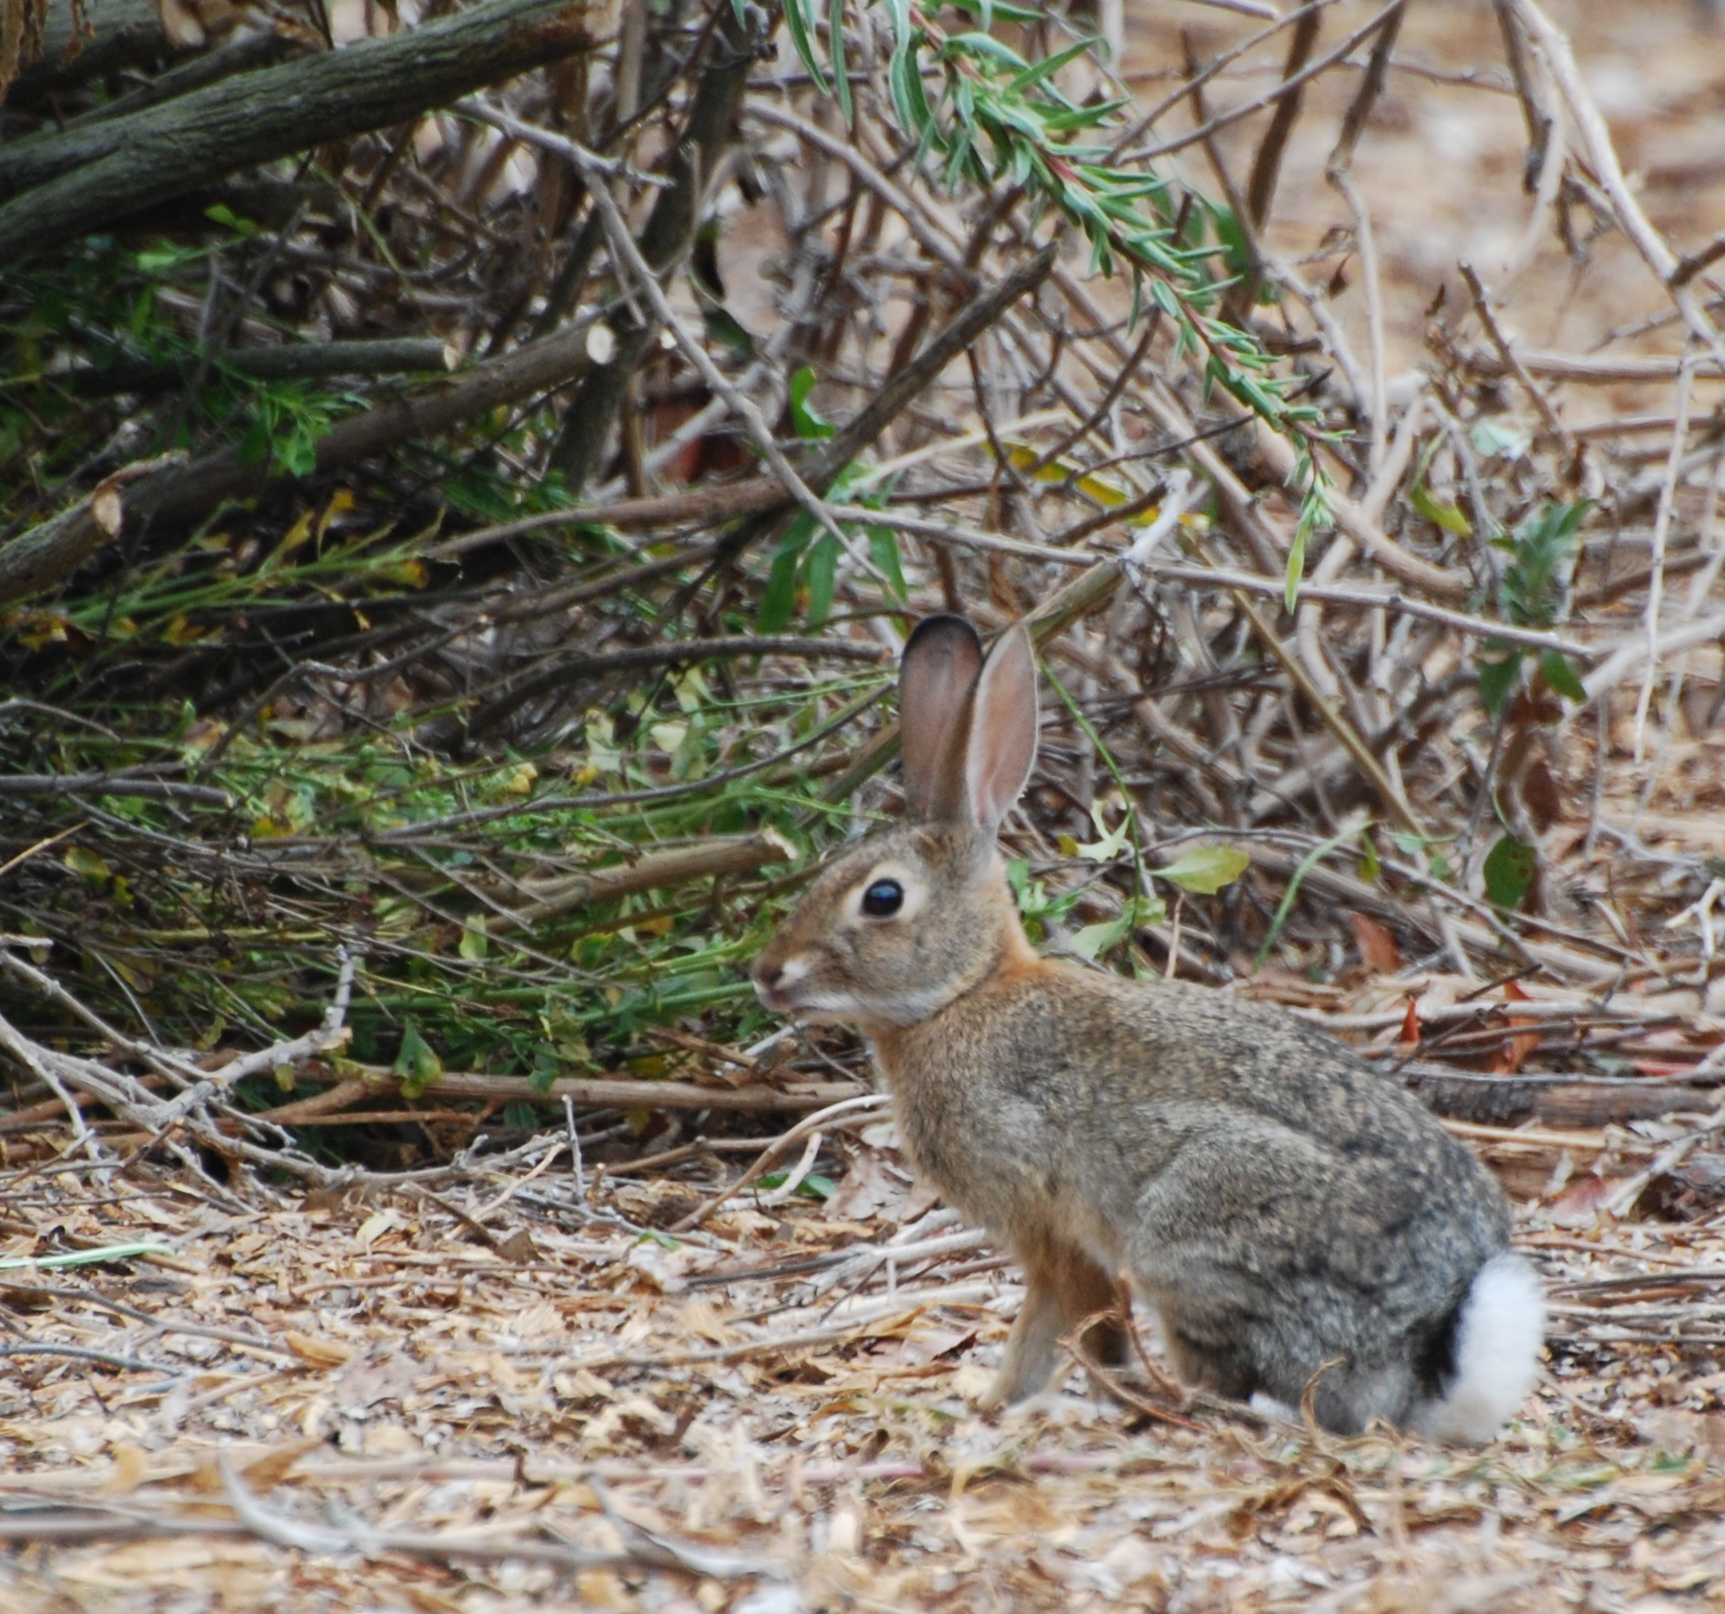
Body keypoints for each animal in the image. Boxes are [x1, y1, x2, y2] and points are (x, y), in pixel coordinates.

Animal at [762, 613, 1545, 1434]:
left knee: (1240, 1384)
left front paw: (1000, 1402)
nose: (766, 974)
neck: (962, 994)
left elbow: (1062, 1319)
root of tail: (1422, 1352)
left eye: (882, 899)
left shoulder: (1044, 1218)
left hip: (1190, 1231)